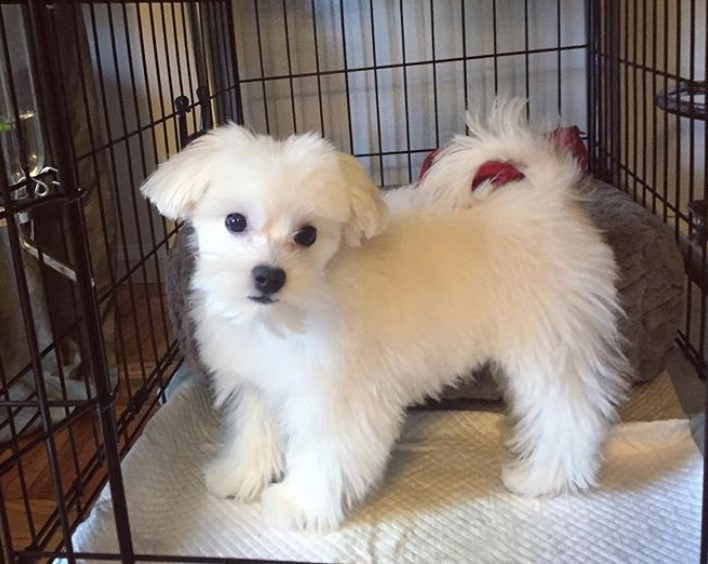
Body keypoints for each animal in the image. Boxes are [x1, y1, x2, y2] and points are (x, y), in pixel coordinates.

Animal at [141, 103, 628, 532]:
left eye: (308, 235)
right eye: (235, 221)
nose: (268, 276)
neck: (291, 313)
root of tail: (549, 195)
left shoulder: (336, 397)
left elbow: (323, 453)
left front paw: (299, 505)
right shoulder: (259, 383)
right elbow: (254, 433)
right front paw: (240, 476)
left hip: (551, 342)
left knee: (570, 413)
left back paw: (544, 477)